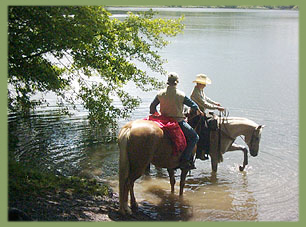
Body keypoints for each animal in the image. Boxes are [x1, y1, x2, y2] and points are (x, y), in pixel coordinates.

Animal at [118, 117, 264, 215]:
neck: (223, 130)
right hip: (140, 165)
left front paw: (242, 166)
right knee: (129, 182)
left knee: (130, 182)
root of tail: (129, 129)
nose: (256, 153)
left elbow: (243, 149)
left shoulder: (225, 149)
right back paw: (130, 206)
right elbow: (214, 172)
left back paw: (131, 205)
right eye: (257, 138)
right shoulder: (215, 156)